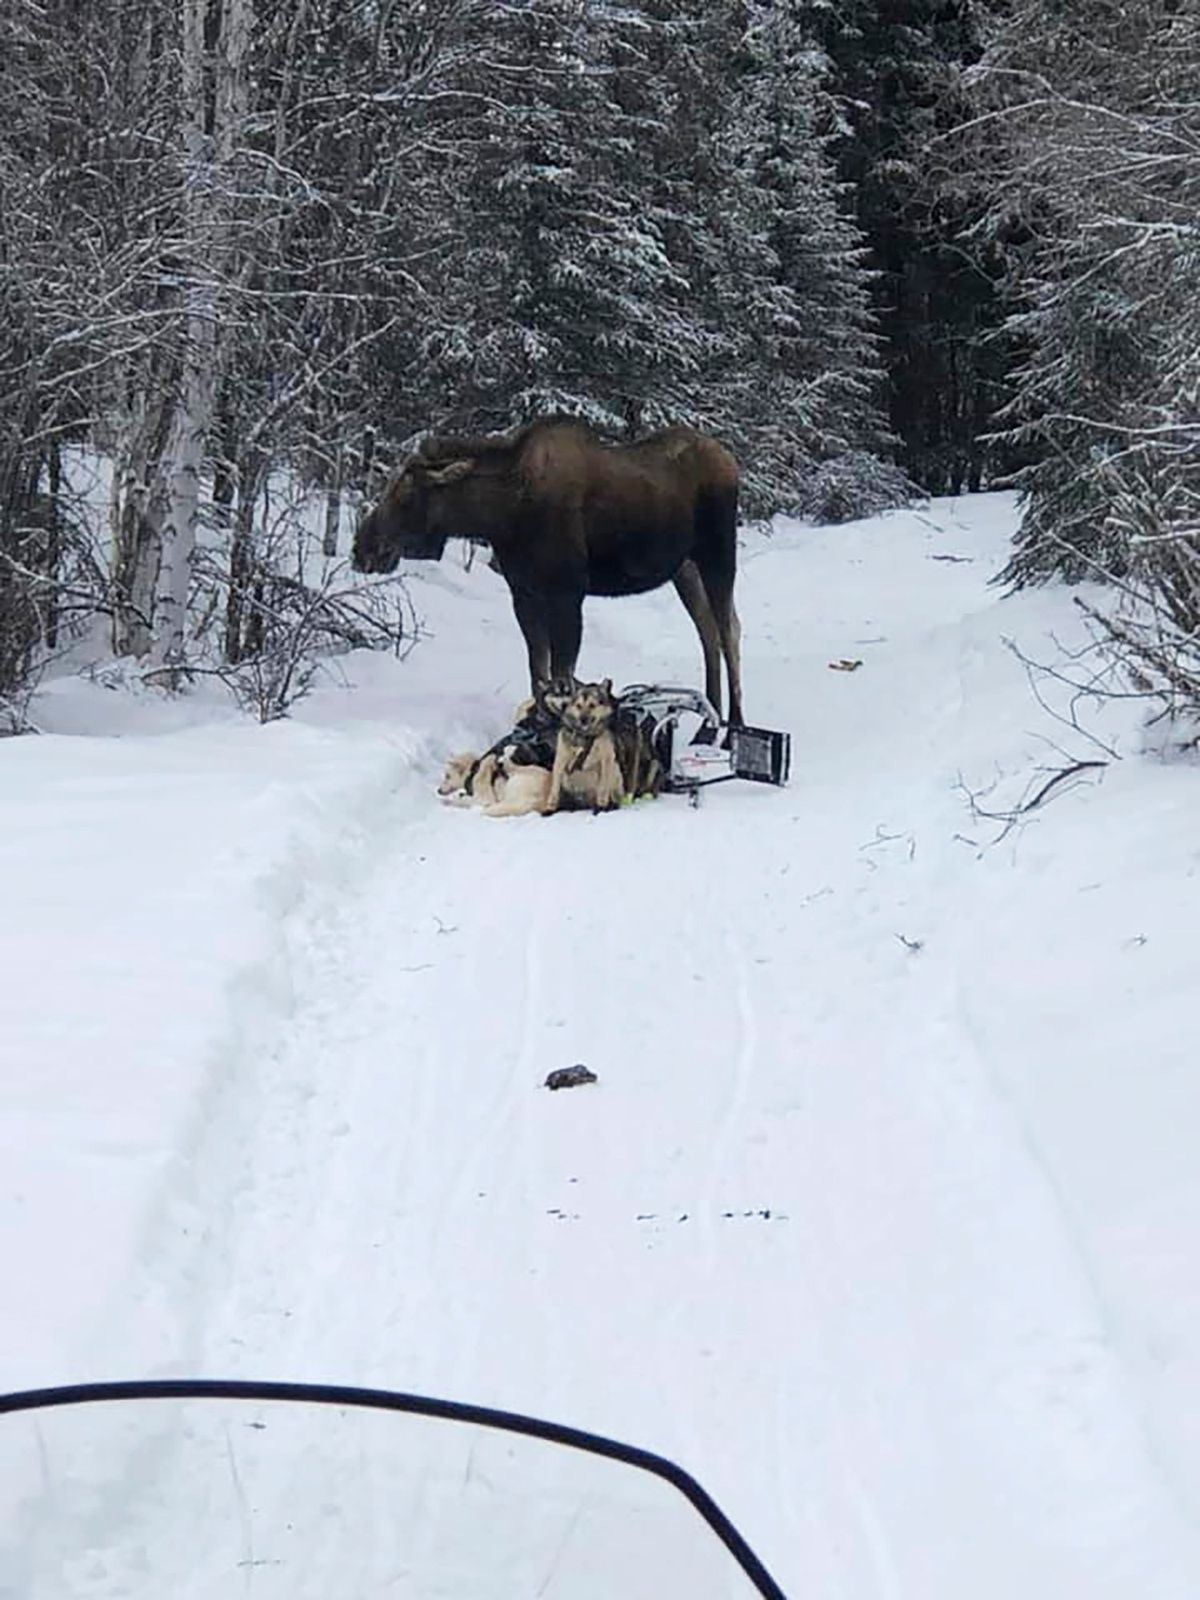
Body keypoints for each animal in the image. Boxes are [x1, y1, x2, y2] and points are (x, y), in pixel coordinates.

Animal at [352, 419, 742, 732]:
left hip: (718, 555)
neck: (503, 514)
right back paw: (711, 715)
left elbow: (560, 676)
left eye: (405, 494)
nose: (362, 547)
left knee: (729, 630)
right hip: (685, 569)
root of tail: (731, 460)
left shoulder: (568, 594)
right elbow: (538, 673)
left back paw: (734, 724)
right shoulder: (524, 594)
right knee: (707, 631)